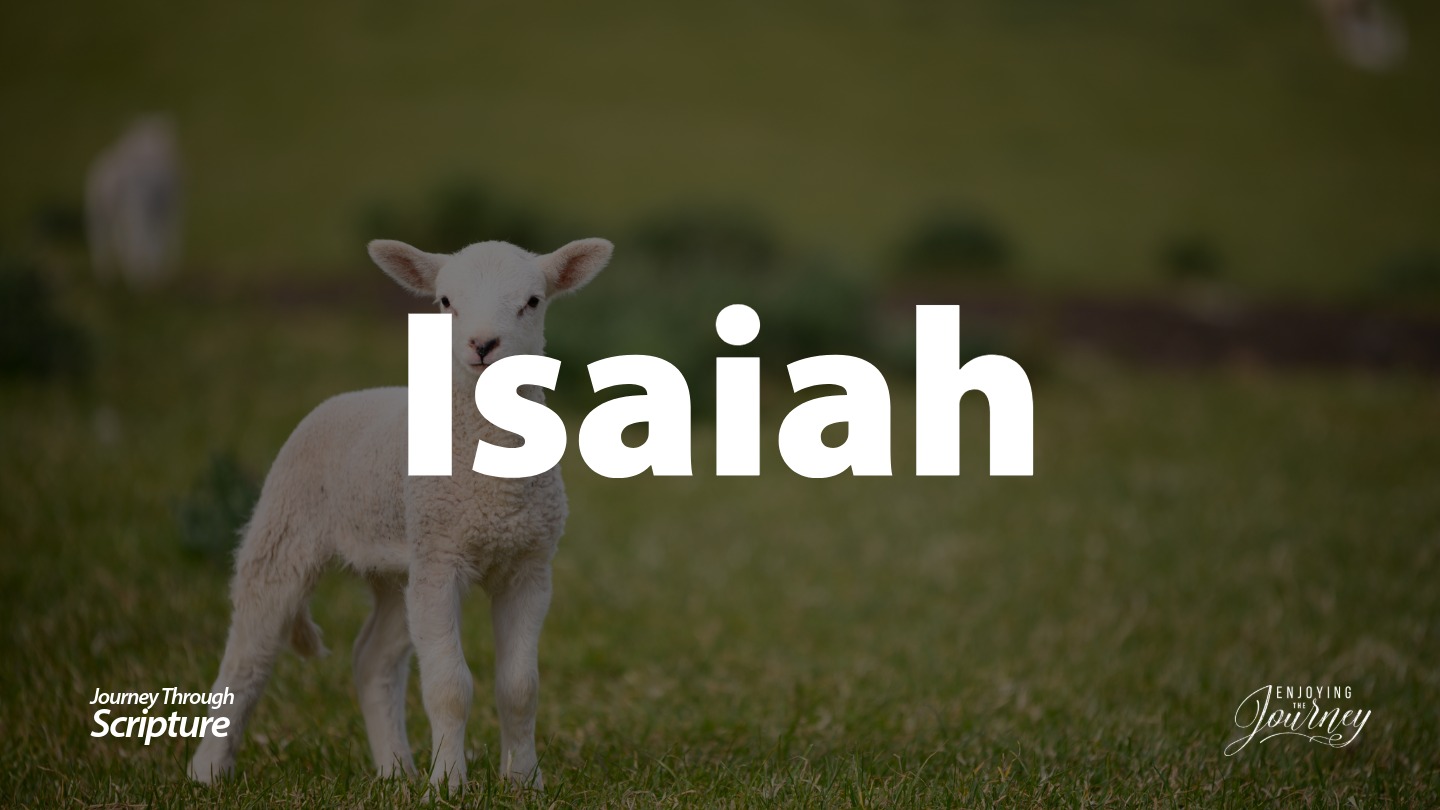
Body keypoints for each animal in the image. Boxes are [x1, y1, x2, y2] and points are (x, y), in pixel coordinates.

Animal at [188, 237, 614, 791]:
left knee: (373, 659)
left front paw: (523, 781)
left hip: (399, 564)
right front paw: (449, 784)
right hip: (287, 524)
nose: (482, 345)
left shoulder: (528, 565)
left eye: (533, 301)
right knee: (248, 653)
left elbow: (520, 688)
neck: (491, 490)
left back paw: (395, 770)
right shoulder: (441, 559)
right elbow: (449, 686)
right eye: (445, 301)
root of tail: (357, 395)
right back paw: (207, 771)